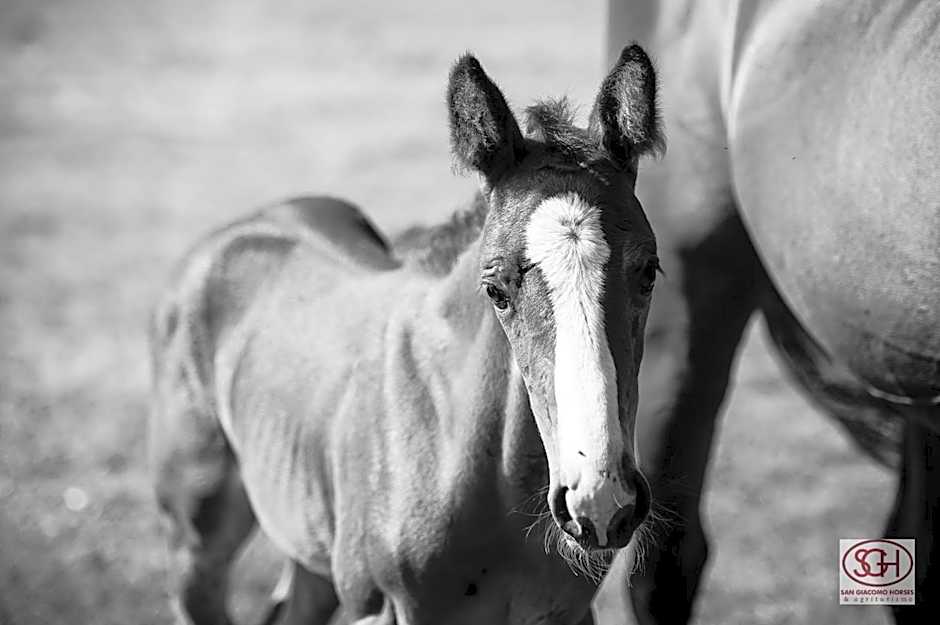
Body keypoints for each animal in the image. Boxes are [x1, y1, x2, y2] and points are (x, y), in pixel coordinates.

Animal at [149, 45, 666, 625]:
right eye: (496, 290)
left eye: (649, 271)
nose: (599, 500)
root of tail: (244, 226)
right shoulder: (382, 607)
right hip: (196, 543)